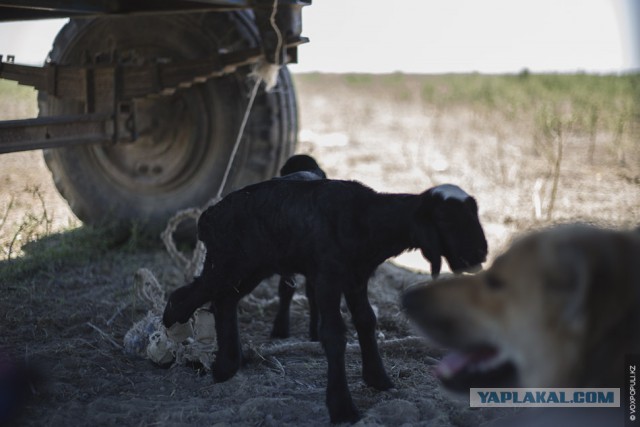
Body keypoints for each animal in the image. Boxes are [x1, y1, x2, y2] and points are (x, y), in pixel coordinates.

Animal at [162, 179, 488, 422]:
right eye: (445, 218)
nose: (481, 253)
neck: (367, 219)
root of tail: (208, 216)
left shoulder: (356, 277)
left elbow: (366, 320)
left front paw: (378, 379)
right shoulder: (327, 277)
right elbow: (333, 334)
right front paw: (342, 408)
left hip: (251, 267)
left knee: (224, 299)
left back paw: (225, 366)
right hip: (228, 261)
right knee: (188, 295)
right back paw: (175, 333)